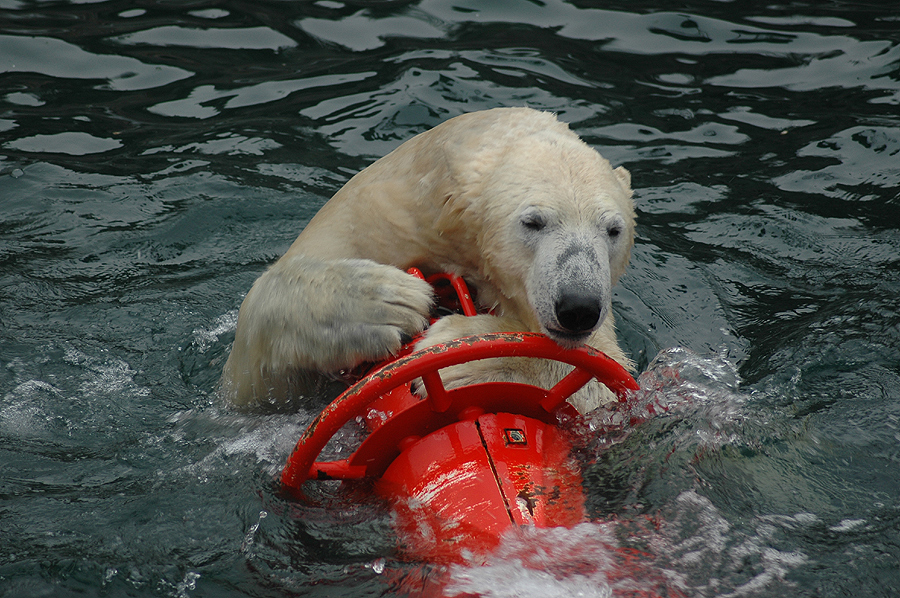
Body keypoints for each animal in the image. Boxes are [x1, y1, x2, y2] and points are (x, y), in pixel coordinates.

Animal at [221, 108, 636, 412]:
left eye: (613, 230)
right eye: (533, 221)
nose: (579, 306)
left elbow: (604, 375)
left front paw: (458, 353)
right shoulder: (368, 221)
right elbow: (255, 382)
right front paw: (384, 303)